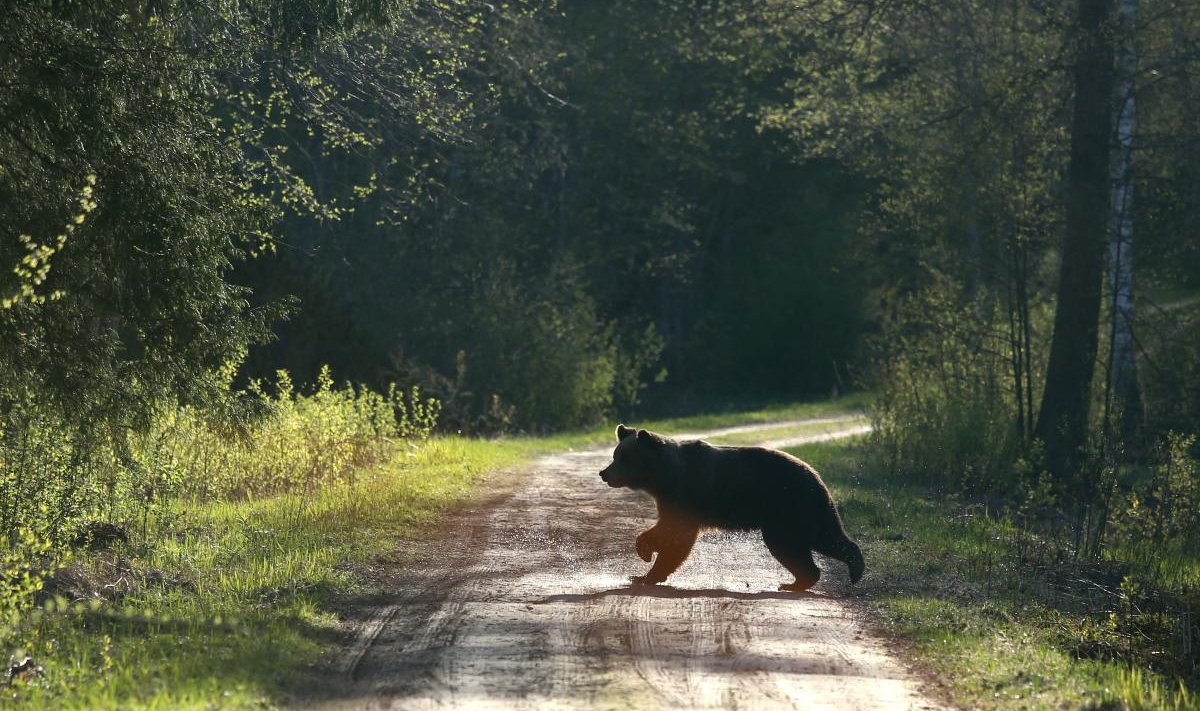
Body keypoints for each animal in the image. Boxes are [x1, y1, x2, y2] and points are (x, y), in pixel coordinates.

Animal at [597, 425, 864, 590]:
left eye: (623, 457)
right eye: (615, 454)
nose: (604, 473)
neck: (663, 478)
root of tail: (817, 477)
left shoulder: (685, 496)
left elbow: (676, 534)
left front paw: (647, 566)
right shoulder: (670, 499)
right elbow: (669, 530)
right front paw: (643, 570)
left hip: (787, 506)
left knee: (790, 544)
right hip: (806, 509)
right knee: (825, 536)